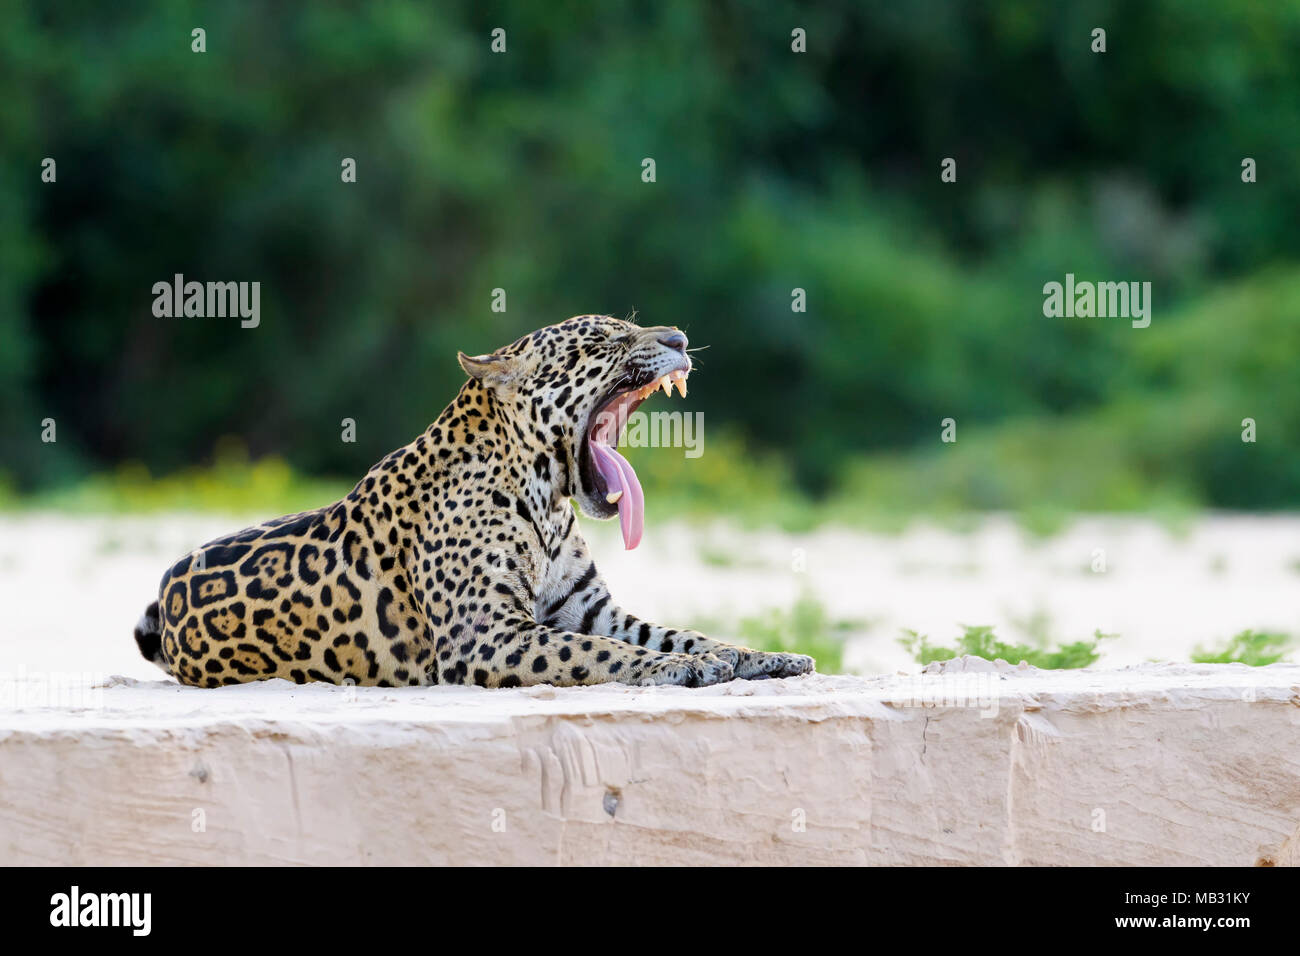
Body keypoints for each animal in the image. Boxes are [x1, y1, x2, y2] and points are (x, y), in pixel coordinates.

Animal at [133, 314, 816, 689]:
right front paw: (677, 670)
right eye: (602, 340)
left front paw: (756, 655)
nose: (679, 336)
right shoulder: (485, 634)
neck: (545, 500)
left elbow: (679, 633)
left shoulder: (590, 609)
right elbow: (601, 653)